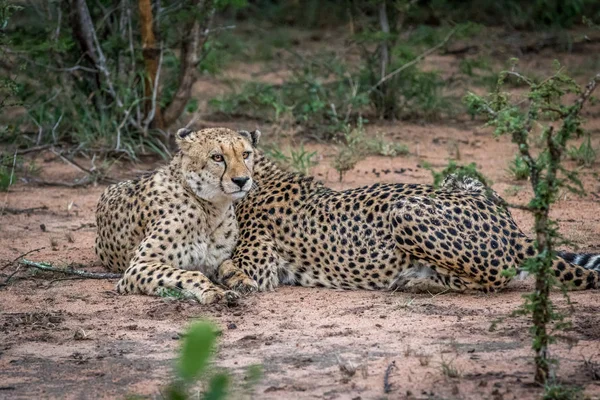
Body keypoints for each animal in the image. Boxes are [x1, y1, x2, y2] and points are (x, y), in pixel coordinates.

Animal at [95, 127, 258, 304]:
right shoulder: (138, 266)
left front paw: (242, 279)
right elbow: (190, 274)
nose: (242, 180)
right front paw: (214, 291)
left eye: (245, 154)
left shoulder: (217, 260)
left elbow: (230, 265)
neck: (210, 209)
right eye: (217, 157)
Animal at [231, 130, 600, 294]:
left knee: (496, 279)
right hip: (458, 178)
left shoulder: (259, 267)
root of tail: (509, 226)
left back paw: (417, 282)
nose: (236, 179)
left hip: (405, 209)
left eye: (232, 154)